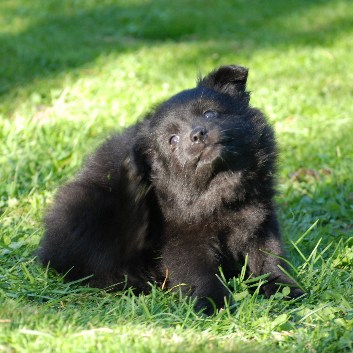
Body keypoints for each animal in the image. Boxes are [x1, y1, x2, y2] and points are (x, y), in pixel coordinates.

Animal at [37, 64, 302, 312]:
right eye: (172, 140)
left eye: (209, 113)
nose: (197, 134)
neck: (219, 188)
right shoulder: (183, 237)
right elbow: (199, 273)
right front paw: (213, 303)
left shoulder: (260, 220)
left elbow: (269, 257)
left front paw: (285, 288)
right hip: (88, 205)